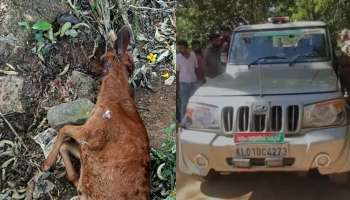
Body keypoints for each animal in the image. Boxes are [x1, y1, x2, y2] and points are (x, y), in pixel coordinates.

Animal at [41, 25, 150, 199]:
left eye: (103, 57)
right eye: (131, 65)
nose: (87, 65)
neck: (112, 98)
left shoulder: (91, 133)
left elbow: (64, 130)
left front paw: (47, 164)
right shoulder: (86, 147)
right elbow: (66, 144)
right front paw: (74, 178)